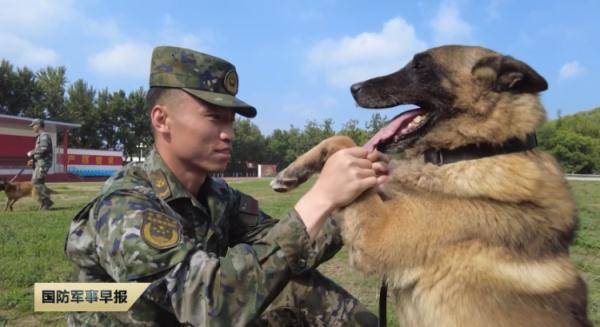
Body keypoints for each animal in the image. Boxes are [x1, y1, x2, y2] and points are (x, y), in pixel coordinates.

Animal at [272, 44, 592, 326]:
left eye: (420, 67)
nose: (353, 87)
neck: (476, 150)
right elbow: (346, 143)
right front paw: (292, 172)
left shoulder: (380, 232)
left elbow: (346, 144)